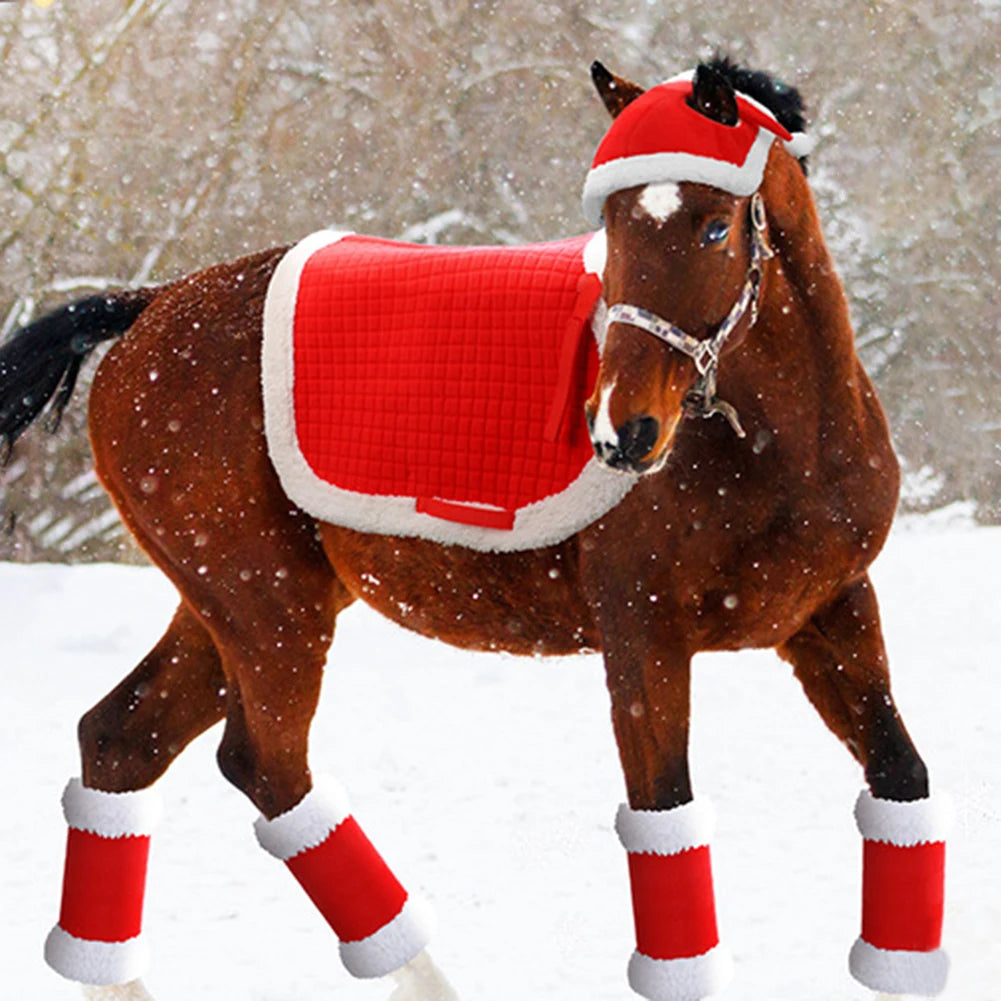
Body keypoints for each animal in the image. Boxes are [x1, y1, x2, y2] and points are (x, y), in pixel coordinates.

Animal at [0, 58, 949, 1001]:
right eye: (610, 223)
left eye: (716, 226)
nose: (621, 430)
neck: (781, 444)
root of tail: (154, 303)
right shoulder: (643, 638)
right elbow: (666, 819)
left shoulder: (831, 614)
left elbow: (901, 780)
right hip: (264, 608)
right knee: (265, 767)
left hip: (226, 607)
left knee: (120, 739)